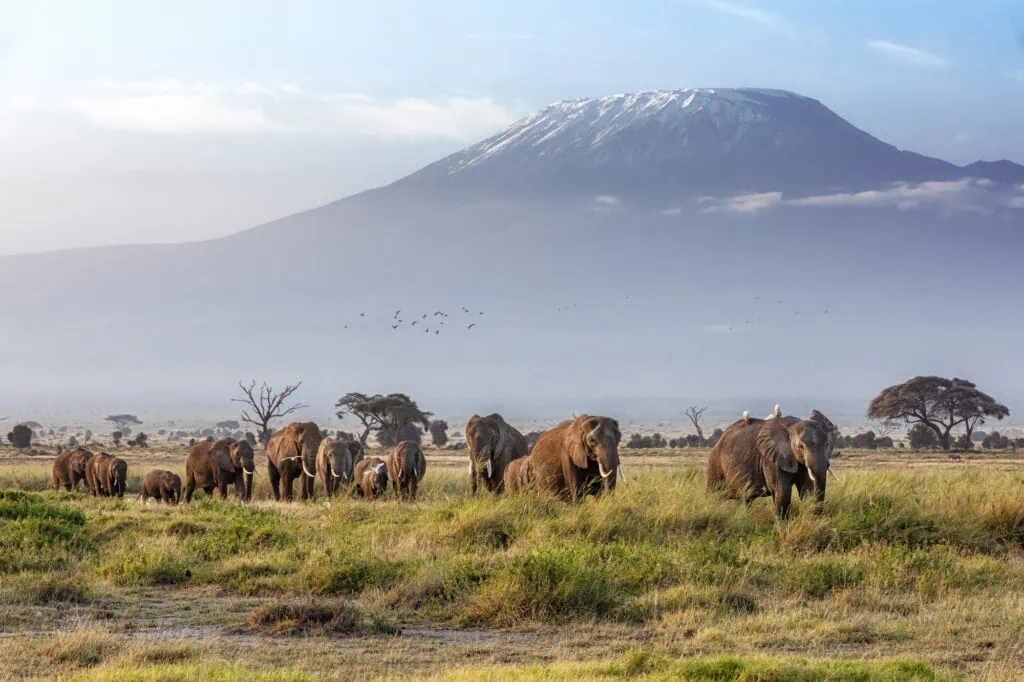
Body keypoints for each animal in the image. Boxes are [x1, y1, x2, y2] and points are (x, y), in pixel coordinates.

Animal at [706, 410, 836, 518]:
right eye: (800, 446)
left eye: (827, 444)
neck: (792, 426)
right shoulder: (771, 459)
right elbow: (782, 492)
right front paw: (782, 526)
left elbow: (807, 489)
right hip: (715, 462)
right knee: (715, 494)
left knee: (744, 499)